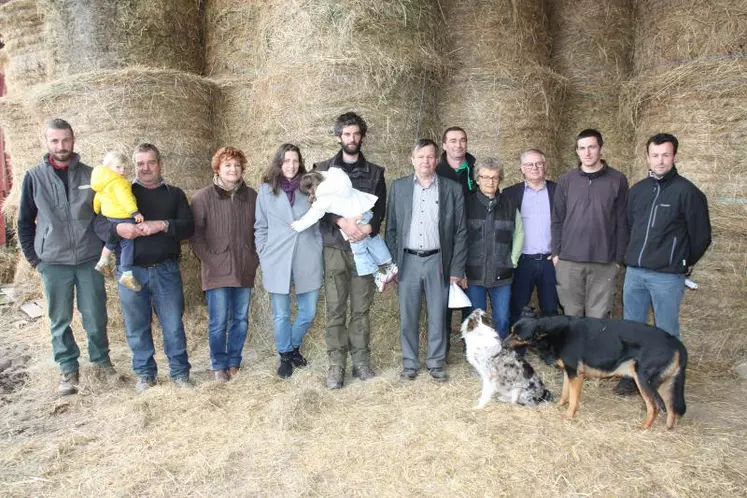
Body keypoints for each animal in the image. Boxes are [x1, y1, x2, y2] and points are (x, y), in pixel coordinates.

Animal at [508, 312, 688, 428]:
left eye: (518, 337)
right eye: (511, 331)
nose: (503, 343)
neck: (553, 332)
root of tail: (677, 343)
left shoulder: (576, 374)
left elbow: (573, 399)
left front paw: (568, 415)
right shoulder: (569, 372)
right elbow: (565, 393)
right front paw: (559, 405)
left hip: (644, 380)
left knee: (655, 407)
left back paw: (643, 427)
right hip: (665, 383)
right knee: (672, 408)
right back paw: (668, 429)